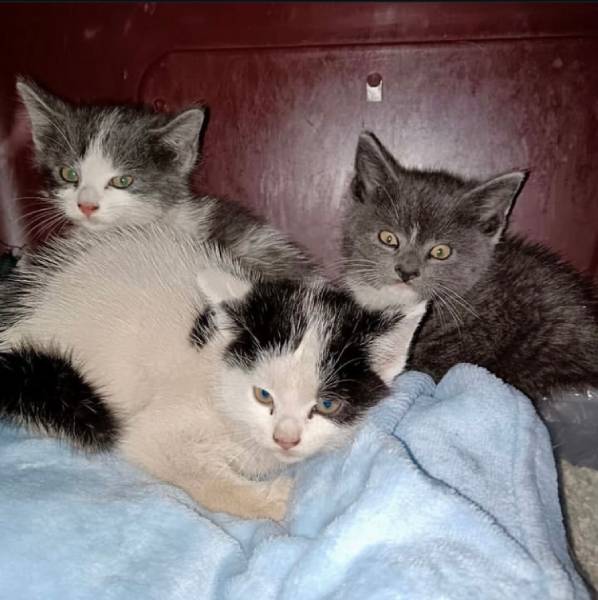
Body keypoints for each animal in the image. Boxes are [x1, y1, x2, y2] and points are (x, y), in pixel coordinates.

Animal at [0, 222, 426, 520]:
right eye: (263, 395)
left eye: (327, 404)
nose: (286, 439)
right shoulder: (155, 429)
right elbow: (189, 468)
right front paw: (276, 501)